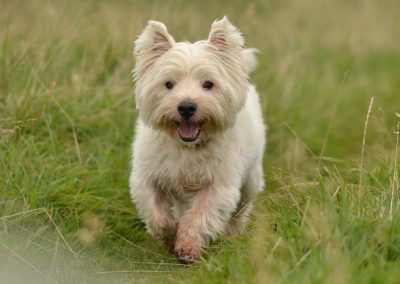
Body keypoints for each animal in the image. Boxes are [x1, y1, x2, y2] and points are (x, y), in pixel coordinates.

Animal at [129, 16, 266, 262]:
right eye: (169, 84)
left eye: (208, 84)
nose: (186, 107)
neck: (187, 146)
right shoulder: (148, 176)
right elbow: (157, 213)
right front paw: (170, 234)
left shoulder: (219, 184)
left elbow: (200, 217)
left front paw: (187, 247)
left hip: (251, 179)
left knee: (240, 210)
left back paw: (232, 234)